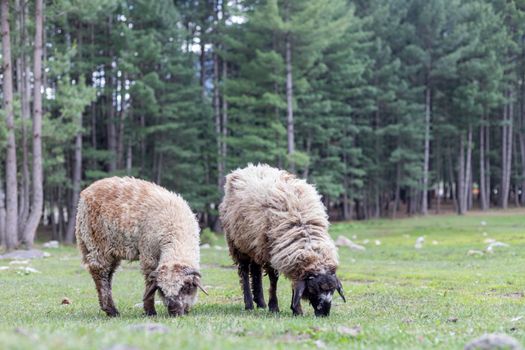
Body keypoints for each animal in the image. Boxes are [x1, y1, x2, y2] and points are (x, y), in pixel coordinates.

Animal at [74, 178, 206, 318]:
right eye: (162, 290)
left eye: (185, 287)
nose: (174, 311)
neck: (175, 230)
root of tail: (87, 191)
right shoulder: (149, 254)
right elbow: (149, 283)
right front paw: (150, 311)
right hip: (96, 242)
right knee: (100, 272)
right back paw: (111, 310)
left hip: (108, 249)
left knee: (108, 274)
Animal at [217, 164, 344, 318]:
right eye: (313, 289)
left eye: (332, 290)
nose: (324, 313)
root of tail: (248, 168)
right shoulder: (270, 252)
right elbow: (273, 280)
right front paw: (275, 307)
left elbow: (293, 283)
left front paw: (295, 309)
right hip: (237, 243)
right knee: (244, 272)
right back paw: (249, 304)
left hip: (254, 243)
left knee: (255, 270)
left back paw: (260, 302)